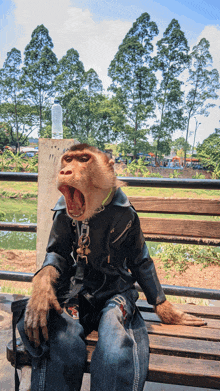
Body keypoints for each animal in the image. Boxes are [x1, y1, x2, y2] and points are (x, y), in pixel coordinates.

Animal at [21, 143, 206, 391]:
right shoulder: (61, 212)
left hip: (122, 301)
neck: (94, 213)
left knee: (116, 335)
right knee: (64, 329)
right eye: (68, 159)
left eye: (83, 159)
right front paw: (40, 296)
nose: (65, 171)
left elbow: (140, 260)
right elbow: (57, 254)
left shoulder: (131, 215)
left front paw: (168, 311)